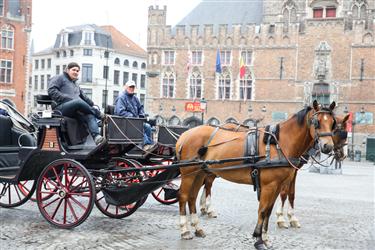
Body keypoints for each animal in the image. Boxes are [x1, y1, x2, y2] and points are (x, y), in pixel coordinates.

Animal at [176, 100, 338, 249]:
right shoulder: (268, 186)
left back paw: (197, 228)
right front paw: (258, 239)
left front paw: (265, 238)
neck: (279, 143)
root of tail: (185, 134)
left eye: (332, 123)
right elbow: (263, 210)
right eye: (316, 122)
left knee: (192, 197)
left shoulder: (277, 186)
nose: (328, 146)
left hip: (199, 173)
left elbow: (269, 211)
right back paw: (185, 230)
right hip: (189, 174)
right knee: (183, 196)